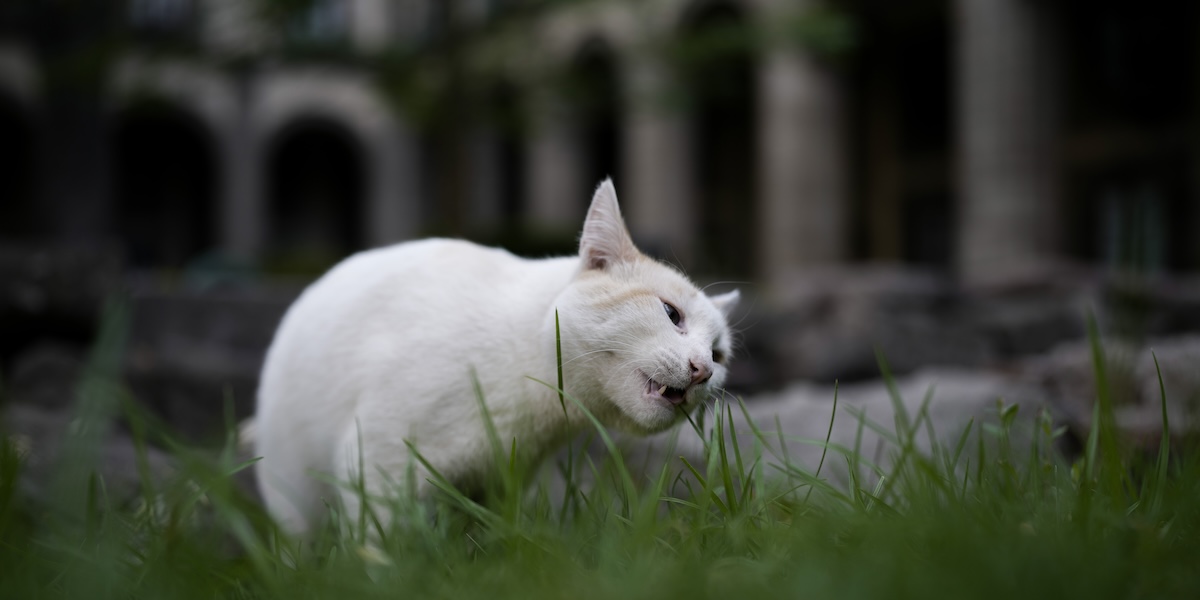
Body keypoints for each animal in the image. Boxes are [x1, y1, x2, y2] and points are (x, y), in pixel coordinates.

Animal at [253, 177, 734, 535]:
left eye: (719, 355)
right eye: (671, 314)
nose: (702, 371)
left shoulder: (503, 484)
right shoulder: (377, 459)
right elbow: (380, 540)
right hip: (291, 486)